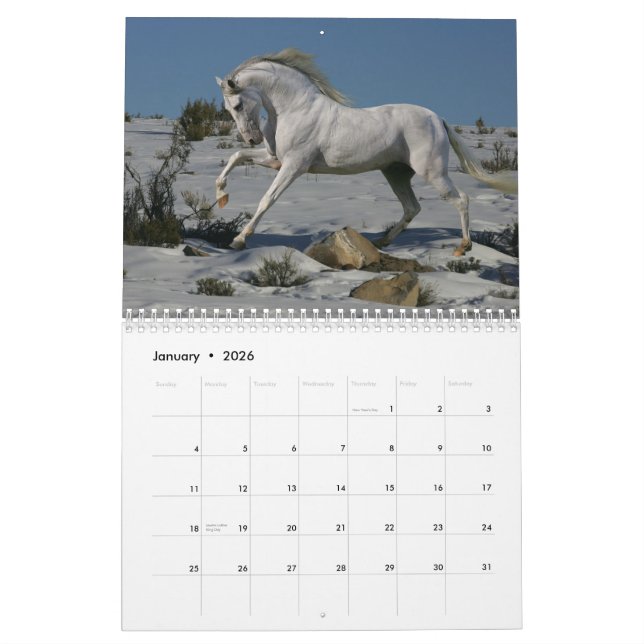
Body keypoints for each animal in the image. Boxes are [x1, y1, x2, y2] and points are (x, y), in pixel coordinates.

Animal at [214, 48, 517, 255]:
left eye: (238, 105)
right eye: (228, 109)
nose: (251, 138)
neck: (295, 108)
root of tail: (438, 119)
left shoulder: (294, 166)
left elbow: (267, 199)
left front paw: (238, 240)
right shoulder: (275, 160)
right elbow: (236, 158)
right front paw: (221, 195)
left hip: (432, 172)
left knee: (461, 199)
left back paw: (463, 247)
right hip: (396, 174)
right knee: (412, 207)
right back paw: (381, 241)